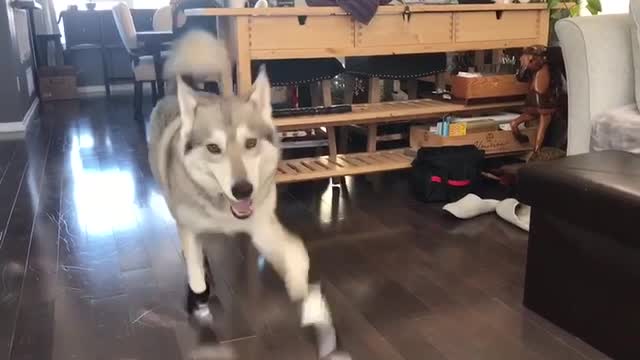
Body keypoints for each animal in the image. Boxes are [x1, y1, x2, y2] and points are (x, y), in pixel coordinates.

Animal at [148, 31, 338, 358]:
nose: (243, 189)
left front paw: (301, 289)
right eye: (213, 148)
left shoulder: (261, 227)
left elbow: (296, 251)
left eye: (251, 143)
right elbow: (195, 271)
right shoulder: (190, 228)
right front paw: (199, 300)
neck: (224, 210)